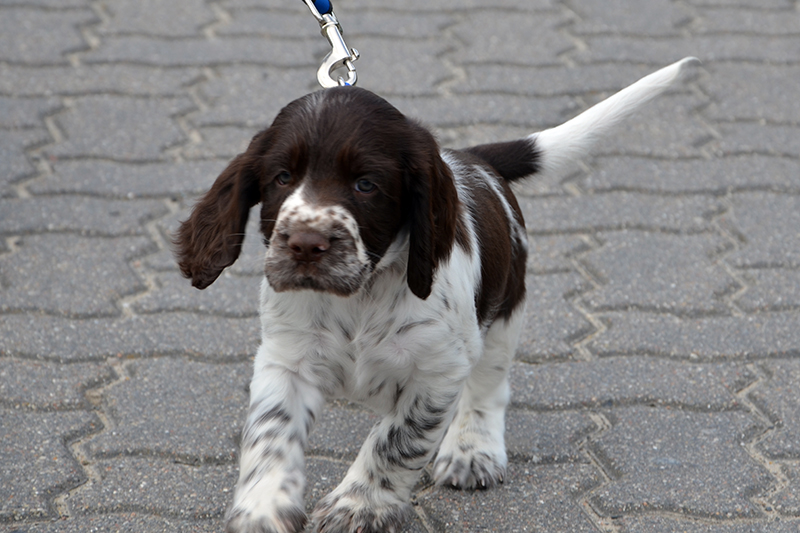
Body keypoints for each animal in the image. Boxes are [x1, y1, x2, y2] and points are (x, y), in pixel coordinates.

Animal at [177, 56, 700, 528]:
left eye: (366, 184)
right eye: (281, 177)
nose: (306, 244)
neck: (362, 295)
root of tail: (476, 160)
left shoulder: (438, 371)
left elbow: (395, 440)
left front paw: (359, 506)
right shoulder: (286, 359)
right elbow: (271, 434)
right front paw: (263, 506)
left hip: (505, 311)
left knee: (489, 385)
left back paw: (473, 449)